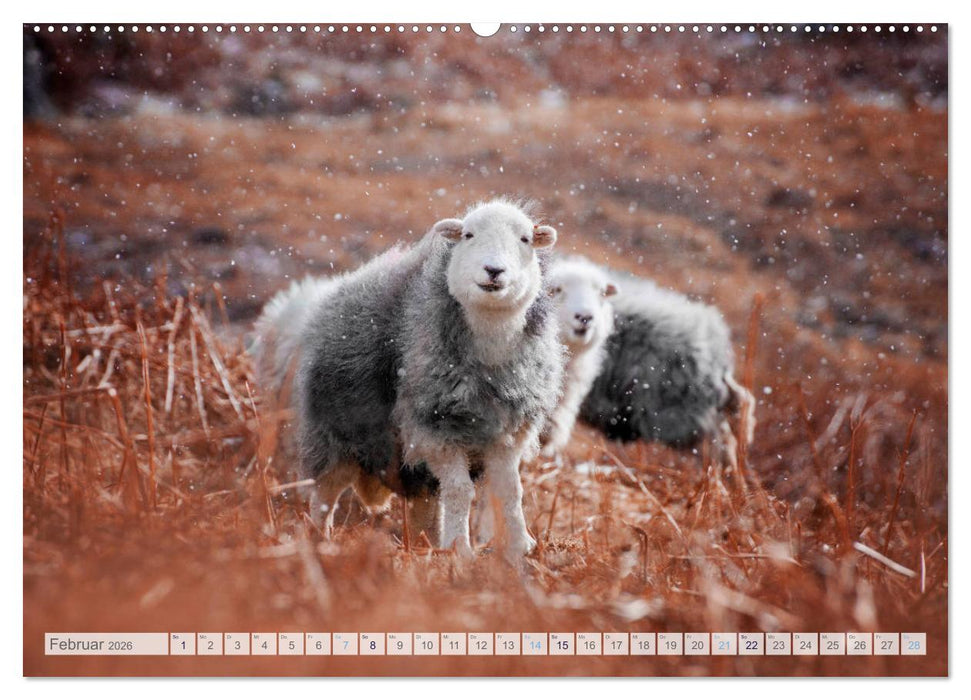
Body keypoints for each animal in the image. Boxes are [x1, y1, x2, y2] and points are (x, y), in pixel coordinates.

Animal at [279, 199, 563, 559]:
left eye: (525, 239)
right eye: (468, 235)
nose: (494, 270)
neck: (490, 352)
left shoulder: (506, 434)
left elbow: (510, 491)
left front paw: (519, 546)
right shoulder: (434, 429)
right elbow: (460, 491)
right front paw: (460, 550)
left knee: (425, 500)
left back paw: (424, 543)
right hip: (335, 432)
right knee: (326, 493)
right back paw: (322, 538)